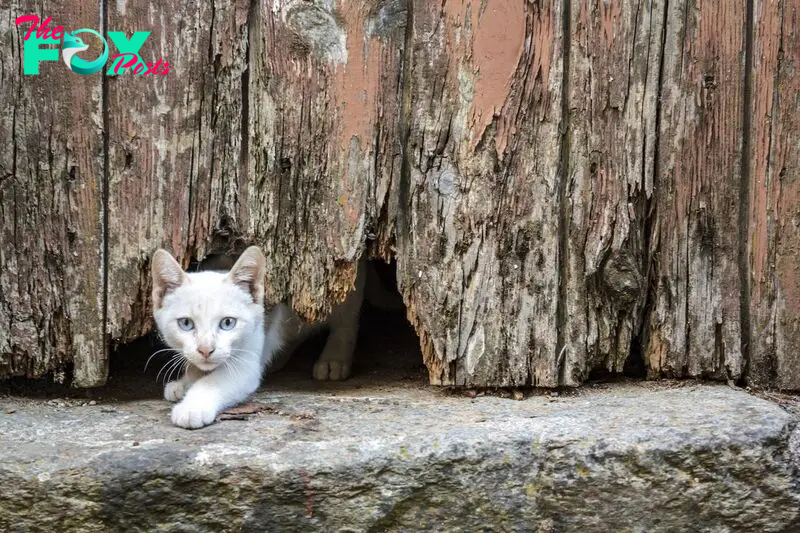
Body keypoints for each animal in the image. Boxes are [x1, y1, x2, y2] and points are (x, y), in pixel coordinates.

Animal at [150, 245, 366, 428]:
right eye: (186, 324)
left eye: (227, 323)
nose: (205, 349)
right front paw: (186, 380)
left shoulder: (246, 362)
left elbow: (214, 381)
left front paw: (192, 407)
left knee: (347, 320)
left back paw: (334, 360)